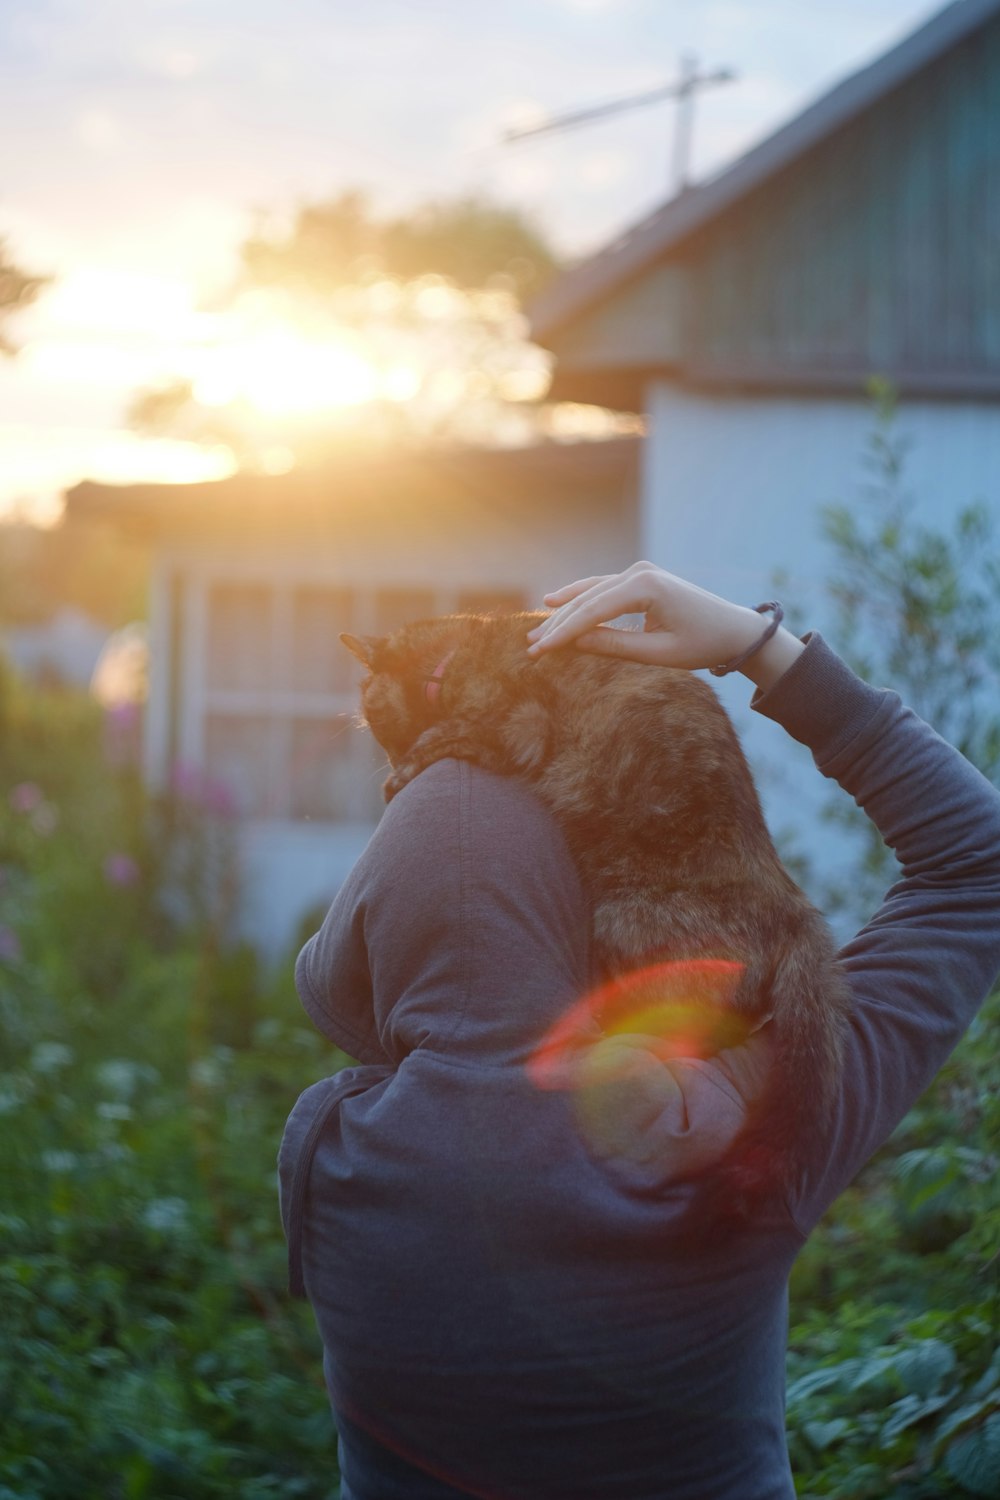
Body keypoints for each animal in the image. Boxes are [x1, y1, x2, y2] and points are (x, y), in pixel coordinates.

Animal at [341, 609, 851, 1218]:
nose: (389, 760)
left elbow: (452, 734)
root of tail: (795, 908)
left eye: (374, 718)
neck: (452, 659)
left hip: (619, 921)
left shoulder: (521, 729)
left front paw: (404, 773)